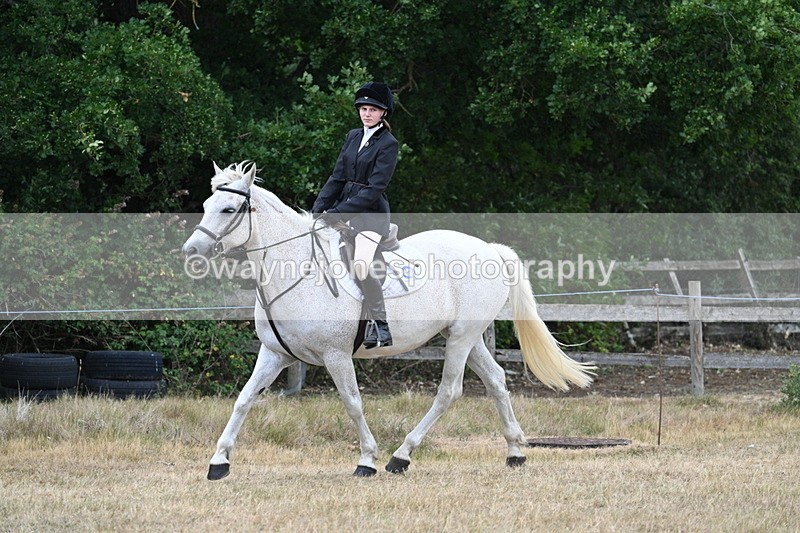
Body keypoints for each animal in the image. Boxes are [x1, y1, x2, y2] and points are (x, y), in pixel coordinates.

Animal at [181, 161, 595, 479]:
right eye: (206, 203)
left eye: (228, 210)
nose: (192, 250)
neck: (296, 268)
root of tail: (490, 249)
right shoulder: (275, 353)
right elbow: (244, 399)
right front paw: (219, 462)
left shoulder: (335, 356)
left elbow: (352, 402)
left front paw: (367, 460)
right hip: (468, 335)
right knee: (495, 380)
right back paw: (514, 452)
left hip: (461, 338)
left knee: (449, 391)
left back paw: (401, 456)